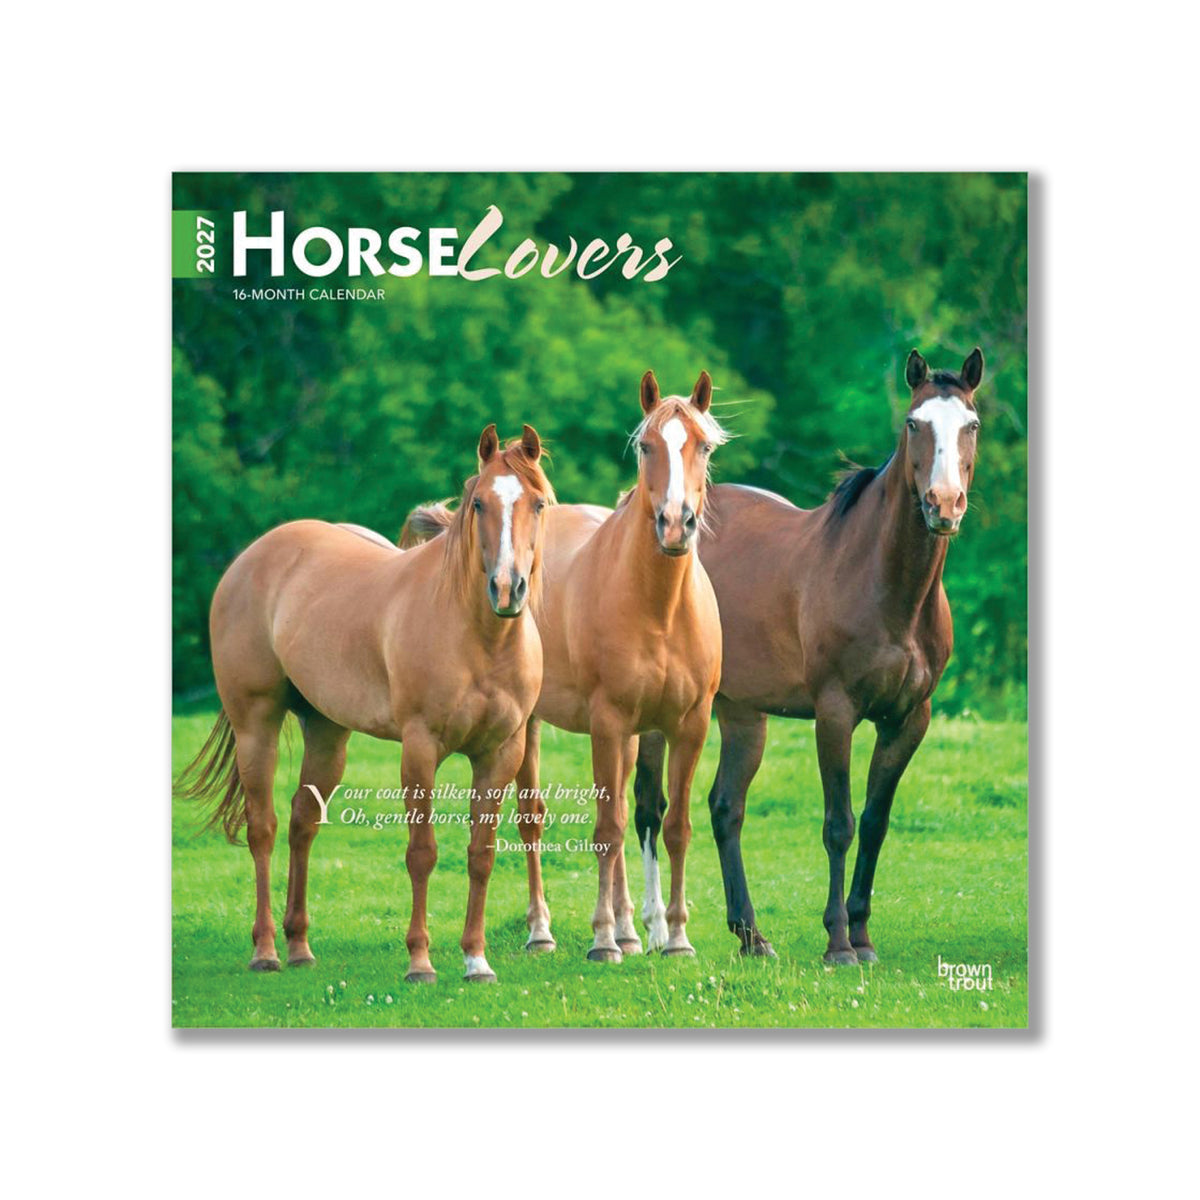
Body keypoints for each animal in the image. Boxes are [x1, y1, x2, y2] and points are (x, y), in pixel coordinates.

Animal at [174, 423, 553, 984]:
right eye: (479, 503)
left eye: (539, 504)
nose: (507, 588)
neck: (478, 637)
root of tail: (252, 557)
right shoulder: (419, 749)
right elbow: (422, 853)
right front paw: (420, 961)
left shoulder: (500, 753)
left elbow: (481, 855)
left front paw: (476, 959)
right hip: (256, 727)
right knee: (263, 829)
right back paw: (266, 950)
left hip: (327, 733)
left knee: (302, 822)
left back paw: (299, 945)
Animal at [634, 348, 985, 964]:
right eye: (913, 423)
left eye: (971, 424)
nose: (944, 504)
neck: (886, 584)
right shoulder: (835, 713)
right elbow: (839, 823)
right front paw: (839, 943)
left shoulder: (908, 720)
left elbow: (875, 822)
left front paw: (863, 934)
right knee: (651, 809)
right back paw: (655, 932)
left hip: (743, 714)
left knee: (726, 808)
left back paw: (751, 936)